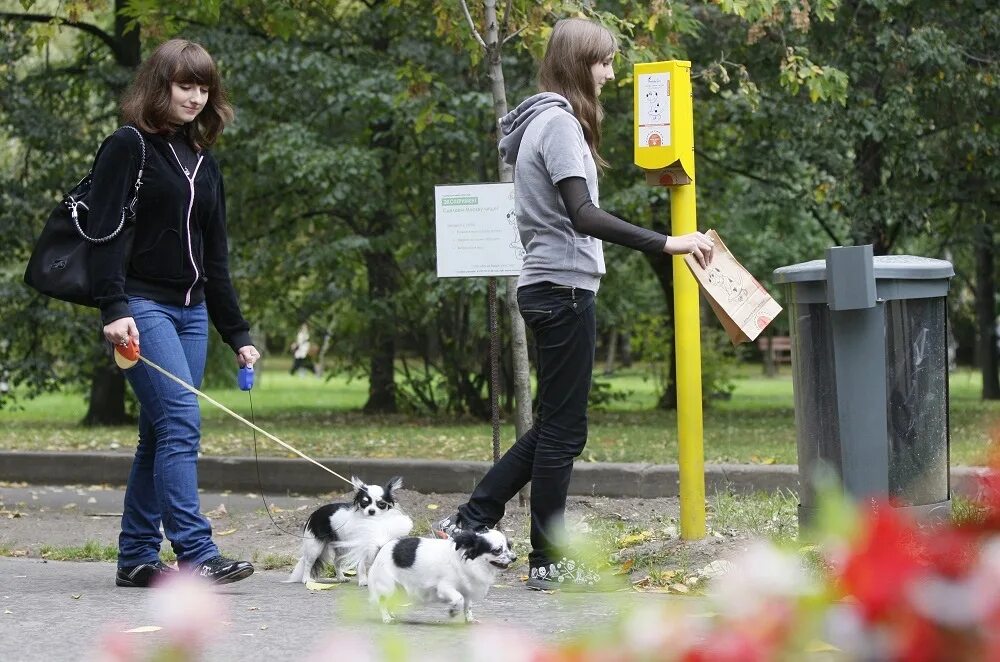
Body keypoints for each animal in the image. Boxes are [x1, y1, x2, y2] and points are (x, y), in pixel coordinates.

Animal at [372, 528, 520, 628]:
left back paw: (391, 614)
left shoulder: (468, 591)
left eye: (509, 547)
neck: (469, 563)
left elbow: (468, 606)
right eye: (497, 550)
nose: (514, 558)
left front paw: (470, 620)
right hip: (388, 586)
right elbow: (459, 599)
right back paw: (386, 618)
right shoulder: (445, 588)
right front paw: (453, 611)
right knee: (382, 602)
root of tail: (383, 547)